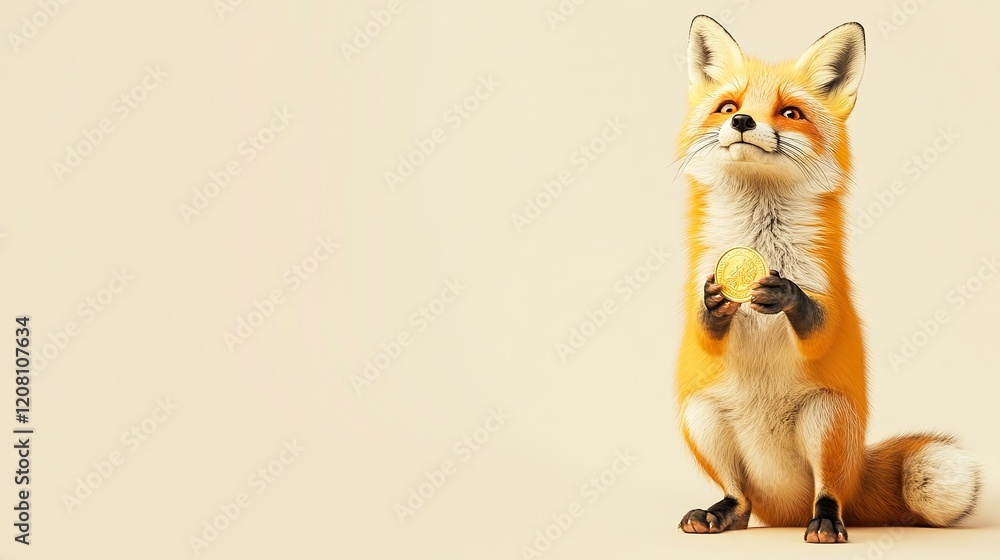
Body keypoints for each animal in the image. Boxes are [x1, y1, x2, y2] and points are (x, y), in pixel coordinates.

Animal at [674, 15, 982, 543]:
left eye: (790, 112)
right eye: (728, 107)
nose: (742, 122)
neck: (762, 238)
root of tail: (784, 509)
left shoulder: (830, 294)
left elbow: (820, 324)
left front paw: (786, 295)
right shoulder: (696, 298)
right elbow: (704, 331)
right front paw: (716, 303)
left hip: (828, 418)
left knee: (829, 490)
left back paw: (824, 521)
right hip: (702, 416)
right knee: (741, 499)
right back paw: (721, 512)